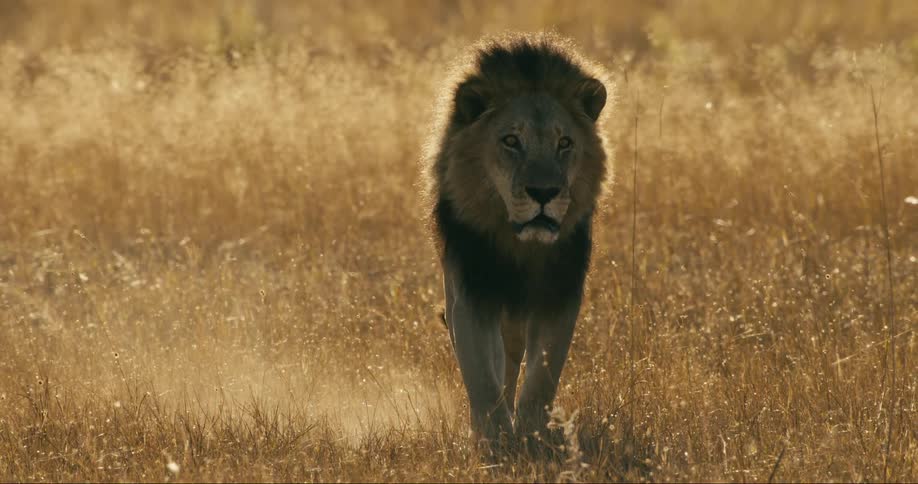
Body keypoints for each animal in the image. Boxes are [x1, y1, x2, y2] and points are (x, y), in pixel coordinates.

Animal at [423, 33, 612, 444]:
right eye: (511, 140)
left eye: (564, 143)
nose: (544, 192)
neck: (521, 246)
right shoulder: (471, 292)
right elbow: (482, 376)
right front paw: (494, 440)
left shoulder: (560, 294)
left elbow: (543, 377)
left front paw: (531, 436)